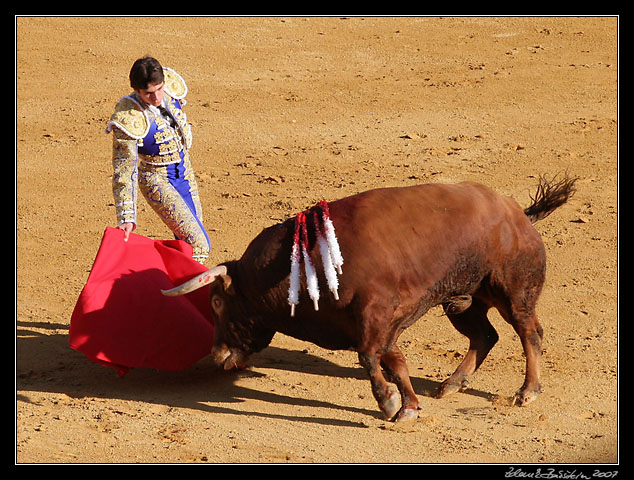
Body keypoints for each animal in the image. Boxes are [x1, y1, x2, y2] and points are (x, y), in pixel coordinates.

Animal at [162, 175, 572, 420]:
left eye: (217, 302)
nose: (217, 355)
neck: (303, 261)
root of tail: (518, 212)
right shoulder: (383, 324)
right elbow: (394, 361)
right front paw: (408, 405)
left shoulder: (375, 315)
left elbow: (370, 358)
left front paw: (389, 403)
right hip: (464, 301)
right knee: (484, 335)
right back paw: (452, 384)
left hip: (513, 290)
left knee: (528, 333)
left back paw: (527, 391)